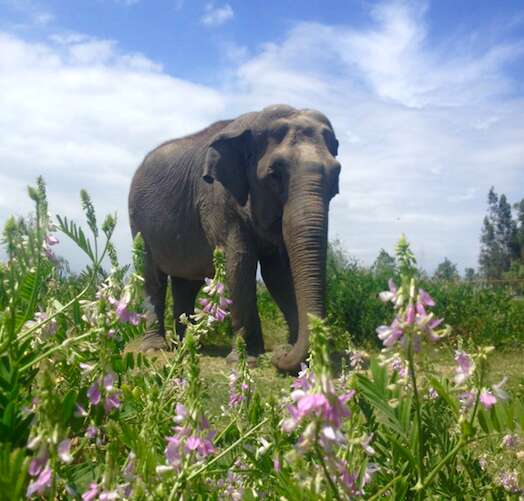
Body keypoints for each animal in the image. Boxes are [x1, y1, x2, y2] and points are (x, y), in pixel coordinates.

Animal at [129, 103, 342, 372]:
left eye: (336, 174)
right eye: (275, 173)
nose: (280, 352)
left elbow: (278, 273)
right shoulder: (216, 198)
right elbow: (239, 261)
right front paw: (247, 360)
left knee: (186, 284)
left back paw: (187, 344)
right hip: (138, 222)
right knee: (152, 278)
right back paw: (155, 348)